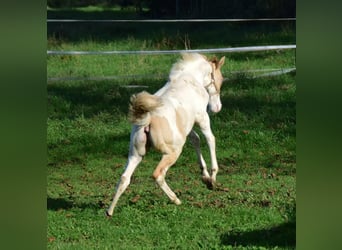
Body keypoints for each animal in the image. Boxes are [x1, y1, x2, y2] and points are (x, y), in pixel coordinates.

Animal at [106, 53, 224, 217]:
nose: (217, 108)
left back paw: (109, 211)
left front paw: (205, 176)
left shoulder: (187, 126)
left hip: (136, 154)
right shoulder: (202, 118)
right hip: (172, 152)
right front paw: (212, 179)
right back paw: (176, 200)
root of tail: (147, 120)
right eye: (221, 79)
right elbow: (210, 139)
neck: (189, 78)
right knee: (158, 174)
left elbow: (196, 139)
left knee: (124, 178)